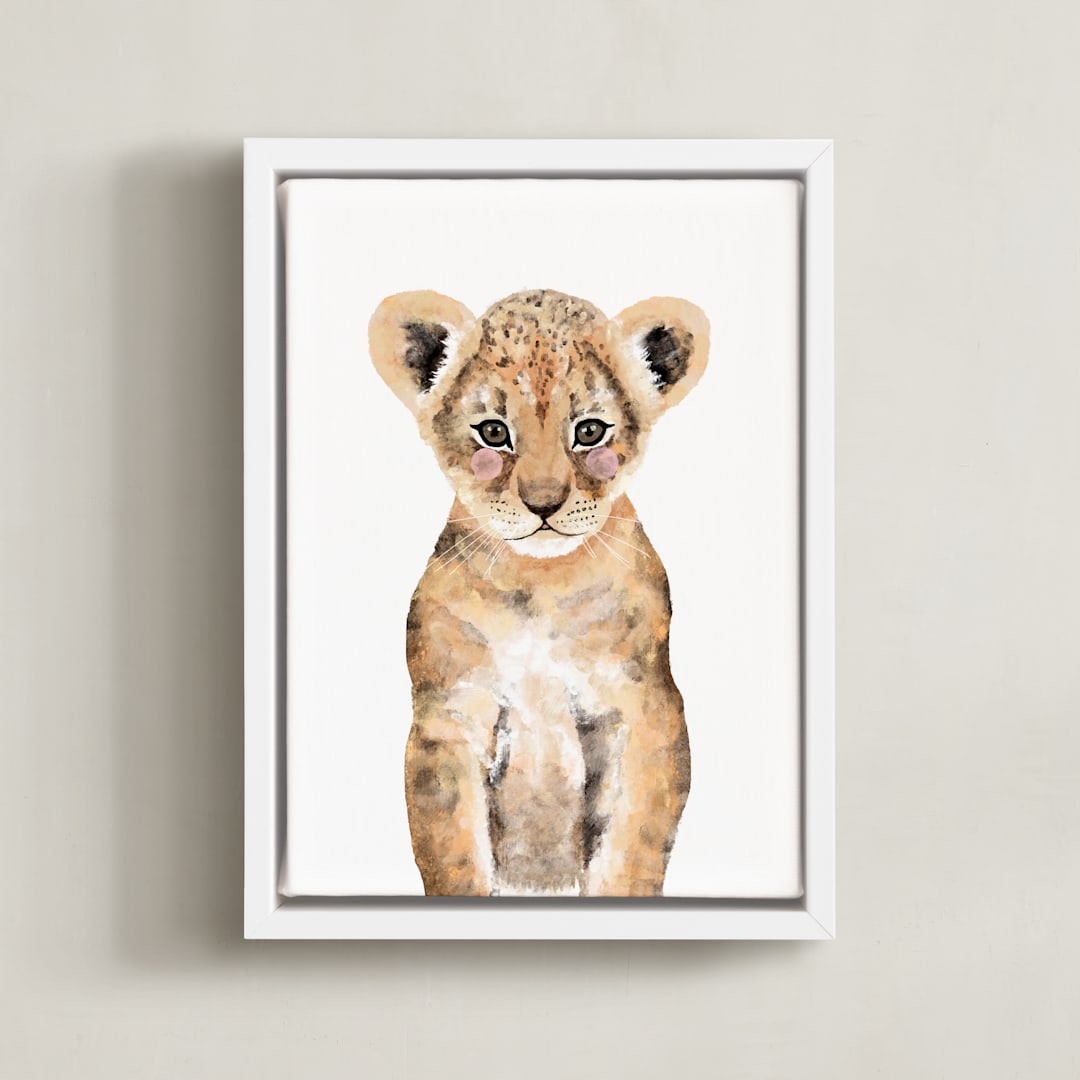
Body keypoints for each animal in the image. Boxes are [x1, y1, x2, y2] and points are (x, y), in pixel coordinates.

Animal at [368, 289, 709, 896]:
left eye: (590, 432)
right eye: (494, 433)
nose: (545, 503)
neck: (540, 583)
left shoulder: (645, 707)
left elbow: (632, 846)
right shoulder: (450, 717)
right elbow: (453, 852)